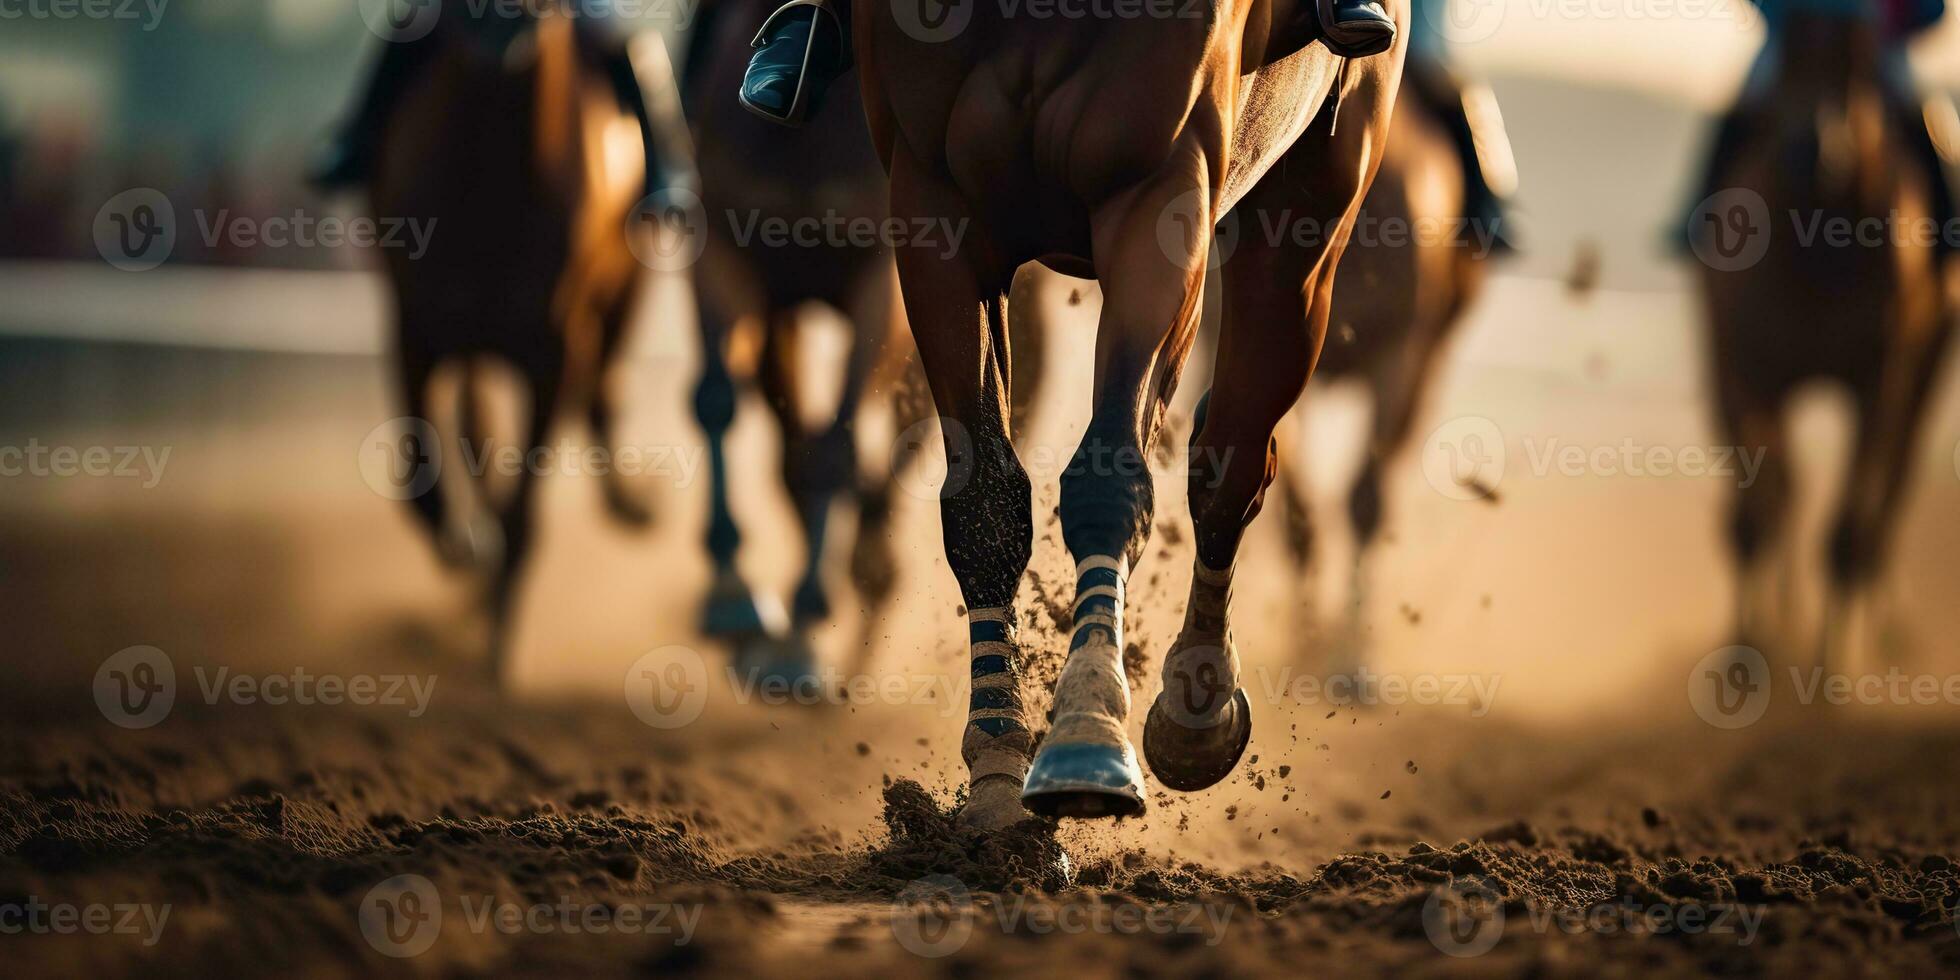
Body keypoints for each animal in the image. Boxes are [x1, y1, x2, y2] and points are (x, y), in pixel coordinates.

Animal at [370, 0, 662, 678]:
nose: (499, 26)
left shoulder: (551, 351)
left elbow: (526, 501)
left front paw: (499, 632)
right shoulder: (414, 328)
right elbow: (423, 478)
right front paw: (465, 544)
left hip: (626, 288)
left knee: (602, 386)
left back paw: (625, 504)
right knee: (476, 427)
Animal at [866, 0, 1403, 827]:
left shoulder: (1158, 186)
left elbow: (1110, 476)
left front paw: (1087, 734)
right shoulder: (933, 206)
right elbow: (984, 504)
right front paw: (997, 773)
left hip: (1314, 216)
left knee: (1234, 454)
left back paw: (1197, 706)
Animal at [1693, 11, 1952, 678]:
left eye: (1859, 59)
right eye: (1785, 47)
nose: (1813, 150)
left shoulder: (1879, 381)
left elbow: (1847, 528)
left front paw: (1831, 671)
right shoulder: (1747, 370)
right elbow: (1756, 512)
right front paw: (1745, 657)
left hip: (1929, 365)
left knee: (1891, 490)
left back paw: (1881, 627)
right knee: (1784, 490)